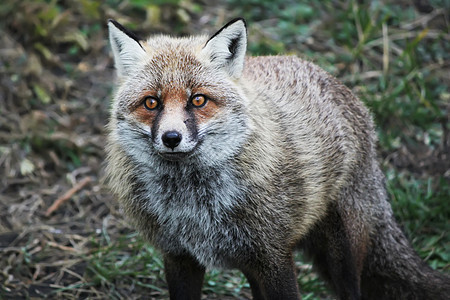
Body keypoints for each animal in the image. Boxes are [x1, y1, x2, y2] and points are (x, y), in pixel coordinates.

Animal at [106, 17, 450, 298]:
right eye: (151, 103)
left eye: (198, 100)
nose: (171, 138)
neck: (192, 205)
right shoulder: (180, 257)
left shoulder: (274, 256)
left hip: (342, 253)